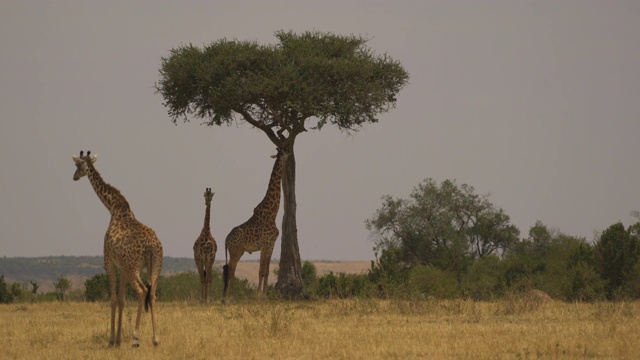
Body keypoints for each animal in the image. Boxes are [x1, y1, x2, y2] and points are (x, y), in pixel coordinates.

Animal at [71, 150, 162, 348]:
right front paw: (119, 339)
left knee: (142, 291)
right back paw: (156, 339)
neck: (113, 207)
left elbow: (113, 299)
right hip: (155, 266)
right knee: (152, 294)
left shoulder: (109, 262)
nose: (74, 177)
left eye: (78, 165)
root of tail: (152, 246)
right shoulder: (122, 267)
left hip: (133, 267)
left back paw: (136, 338)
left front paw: (112, 339)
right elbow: (121, 299)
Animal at [221, 148, 288, 302]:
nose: (289, 153)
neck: (272, 213)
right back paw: (230, 296)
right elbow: (261, 270)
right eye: (283, 152)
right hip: (235, 251)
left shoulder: (271, 245)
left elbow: (267, 270)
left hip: (239, 251)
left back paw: (228, 295)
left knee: (230, 268)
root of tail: (226, 240)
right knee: (231, 269)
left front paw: (265, 294)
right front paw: (258, 295)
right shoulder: (264, 244)